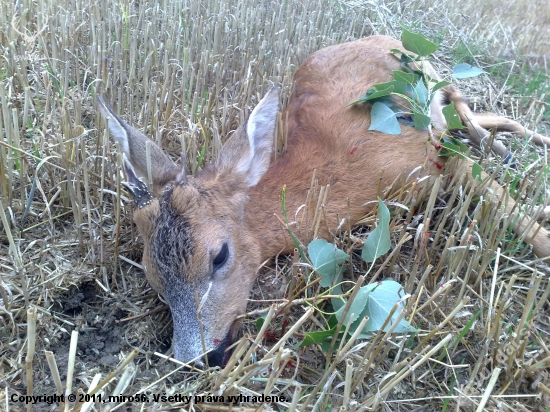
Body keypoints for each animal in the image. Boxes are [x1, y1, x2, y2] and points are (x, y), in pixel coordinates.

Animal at [99, 36, 550, 366]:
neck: (338, 172)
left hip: (427, 75)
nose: (195, 359)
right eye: (153, 277)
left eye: (219, 255)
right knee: (480, 115)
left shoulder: (435, 156)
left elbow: (515, 213)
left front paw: (540, 224)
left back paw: (509, 148)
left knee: (461, 100)